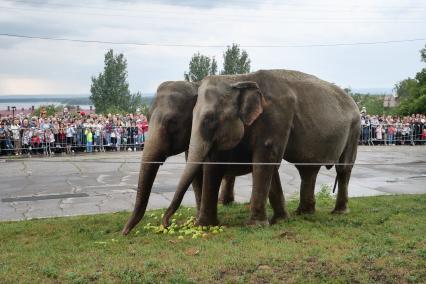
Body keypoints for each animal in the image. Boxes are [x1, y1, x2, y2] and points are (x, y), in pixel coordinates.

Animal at [121, 80, 288, 235]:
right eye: (147, 118)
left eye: (172, 122)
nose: (124, 232)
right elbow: (196, 176)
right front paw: (198, 220)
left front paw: (201, 222)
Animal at [161, 69, 362, 226]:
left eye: (209, 119)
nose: (167, 223)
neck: (241, 78)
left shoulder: (276, 117)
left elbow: (265, 159)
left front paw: (256, 225)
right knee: (307, 169)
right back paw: (303, 213)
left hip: (355, 129)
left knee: (343, 168)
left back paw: (338, 212)